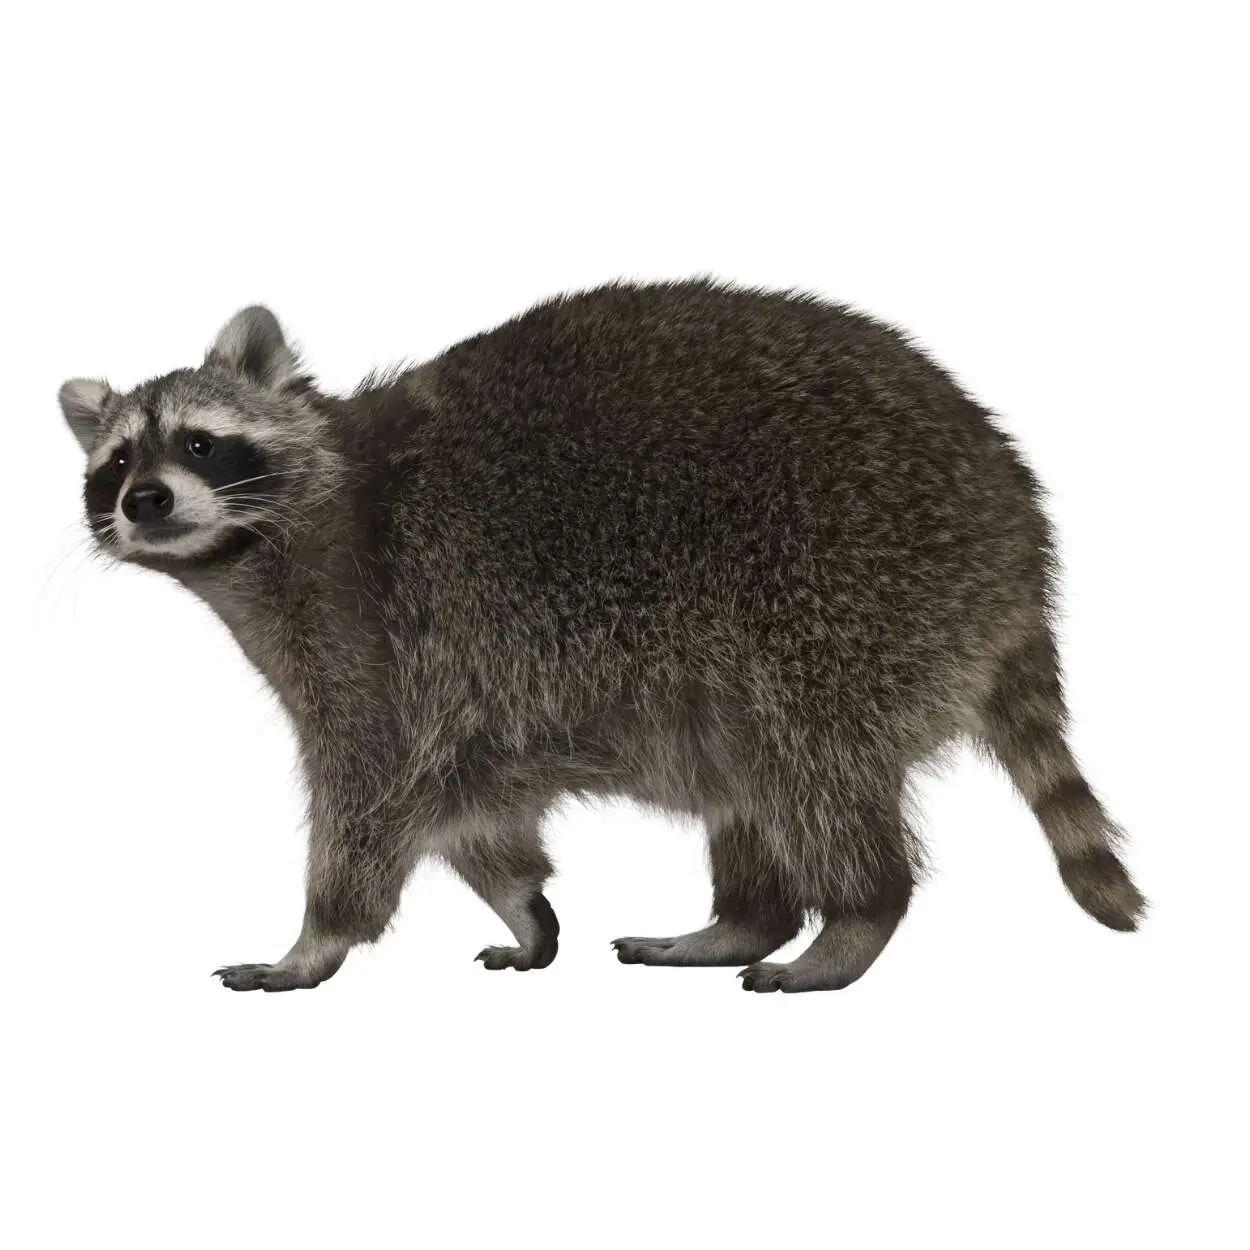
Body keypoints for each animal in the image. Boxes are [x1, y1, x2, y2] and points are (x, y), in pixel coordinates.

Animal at [59, 280, 1145, 993]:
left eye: (199, 441)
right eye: (114, 464)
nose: (145, 500)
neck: (259, 547)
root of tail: (1016, 536)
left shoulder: (372, 634)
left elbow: (373, 795)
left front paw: (315, 940)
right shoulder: (460, 691)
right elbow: (477, 810)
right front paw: (522, 906)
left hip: (845, 595)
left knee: (810, 764)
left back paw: (853, 917)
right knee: (748, 776)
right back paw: (742, 920)